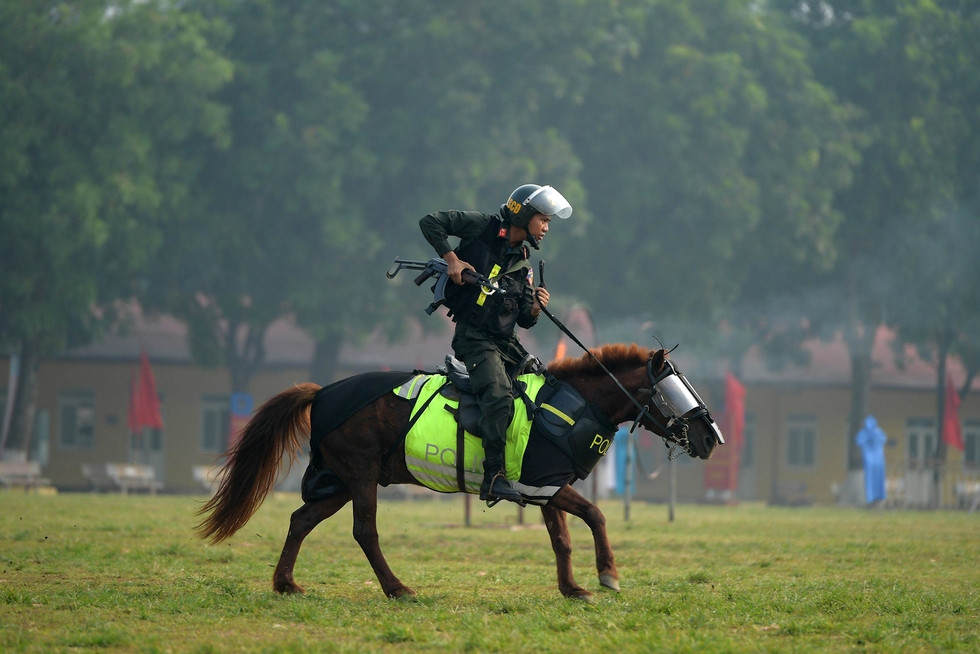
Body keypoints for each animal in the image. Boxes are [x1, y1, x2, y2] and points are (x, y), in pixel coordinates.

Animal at [197, 346, 720, 604]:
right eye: (674, 389)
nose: (711, 436)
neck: (572, 405)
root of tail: (322, 392)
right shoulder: (546, 487)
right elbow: (595, 516)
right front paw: (607, 573)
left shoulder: (546, 488)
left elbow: (563, 539)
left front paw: (572, 588)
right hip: (361, 477)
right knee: (365, 531)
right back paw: (397, 589)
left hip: (341, 483)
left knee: (301, 520)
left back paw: (286, 583)